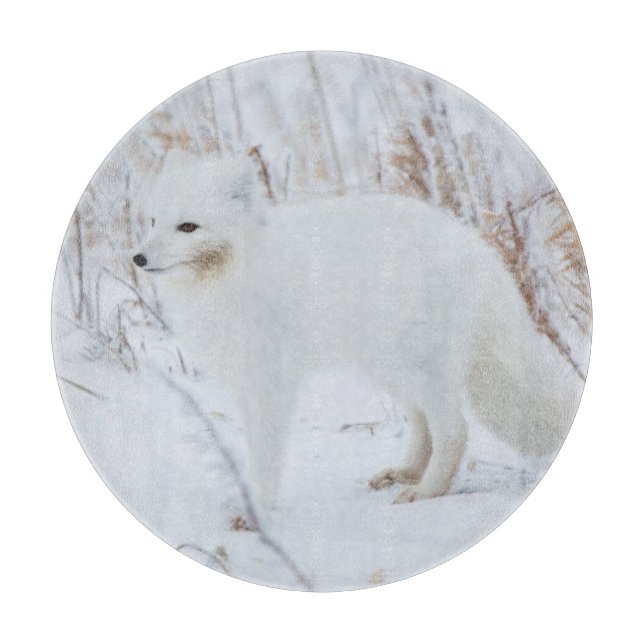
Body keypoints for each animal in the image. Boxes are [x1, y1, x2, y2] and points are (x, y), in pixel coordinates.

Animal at [132, 150, 581, 510]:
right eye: (153, 221)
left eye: (188, 227)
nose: (137, 258)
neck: (235, 268)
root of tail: (476, 249)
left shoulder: (270, 381)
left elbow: (265, 452)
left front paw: (259, 510)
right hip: (388, 366)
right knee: (424, 424)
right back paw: (405, 473)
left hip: (410, 365)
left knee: (454, 429)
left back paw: (426, 491)